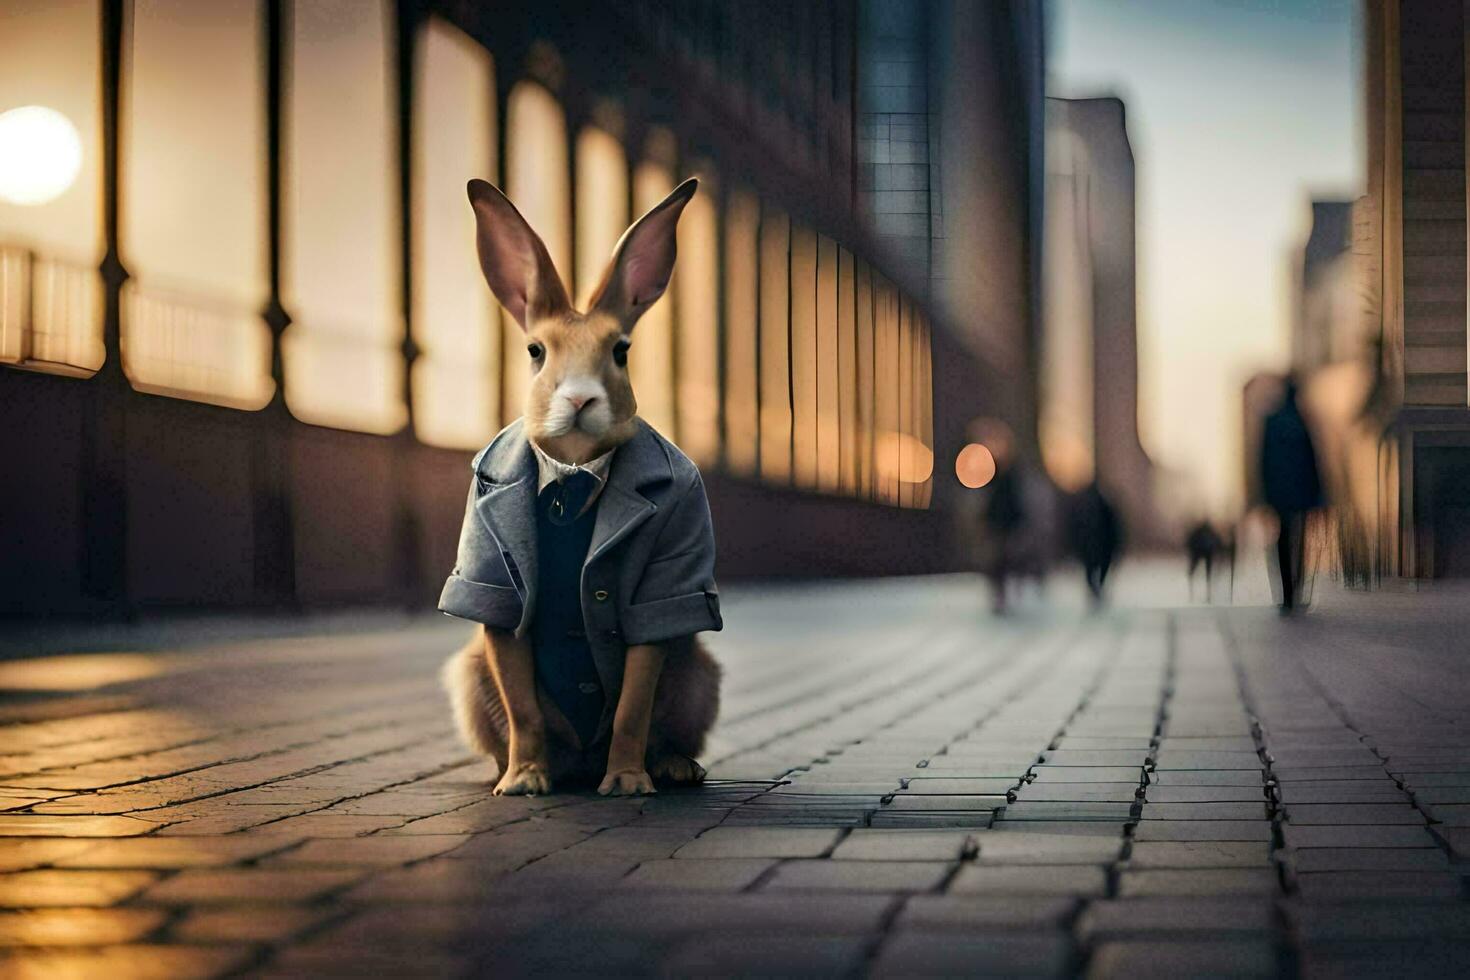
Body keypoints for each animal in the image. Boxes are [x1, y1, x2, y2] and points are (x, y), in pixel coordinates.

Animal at [441, 179, 723, 799]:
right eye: (535, 351)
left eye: (620, 350)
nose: (579, 397)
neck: (571, 474)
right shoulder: (497, 587)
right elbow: (521, 701)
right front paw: (524, 781)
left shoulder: (658, 589)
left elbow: (634, 704)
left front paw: (627, 784)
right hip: (470, 679)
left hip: (699, 675)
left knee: (667, 729)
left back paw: (672, 768)